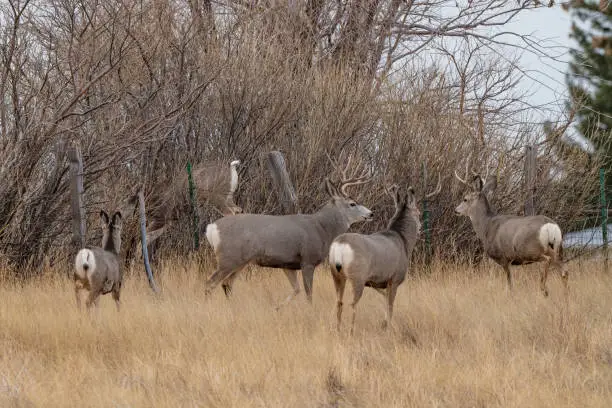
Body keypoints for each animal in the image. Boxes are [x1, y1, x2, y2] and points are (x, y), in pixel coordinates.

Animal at [204, 155, 372, 308]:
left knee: (227, 284)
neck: (322, 228)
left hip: (241, 261)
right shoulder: (307, 259)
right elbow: (309, 294)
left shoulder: (287, 264)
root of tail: (211, 228)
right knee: (211, 282)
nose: (370, 213)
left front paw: (278, 307)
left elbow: (296, 289)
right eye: (352, 203)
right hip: (228, 257)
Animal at [330, 180, 440, 334]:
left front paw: (383, 324)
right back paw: (351, 332)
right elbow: (390, 306)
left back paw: (338, 330)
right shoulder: (394, 279)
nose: (419, 228)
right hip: (357, 276)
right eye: (418, 212)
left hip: (336, 274)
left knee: (339, 302)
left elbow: (385, 302)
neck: (403, 241)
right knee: (352, 303)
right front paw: (388, 328)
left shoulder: (377, 282)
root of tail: (340, 245)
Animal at [454, 158, 568, 298]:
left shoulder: (504, 258)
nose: (456, 210)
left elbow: (509, 283)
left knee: (548, 261)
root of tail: (550, 226)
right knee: (564, 271)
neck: (486, 226)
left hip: (533, 250)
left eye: (465, 199)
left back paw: (544, 290)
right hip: (558, 247)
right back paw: (564, 295)